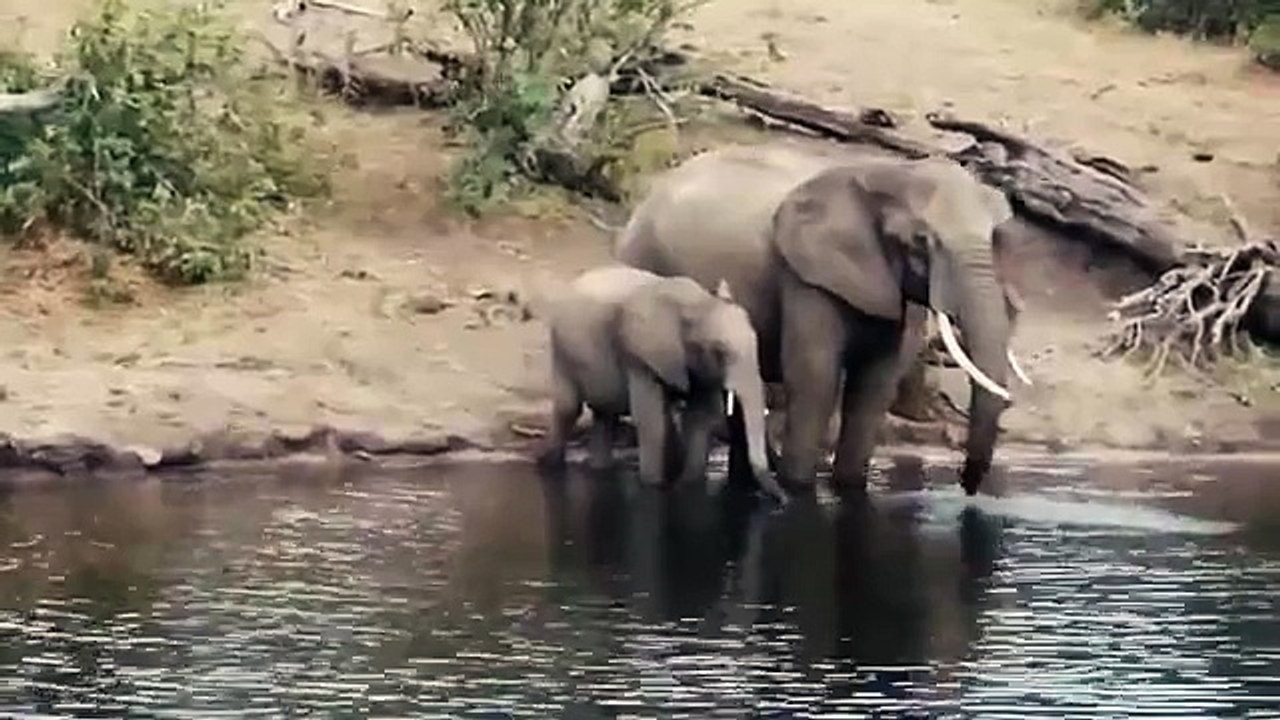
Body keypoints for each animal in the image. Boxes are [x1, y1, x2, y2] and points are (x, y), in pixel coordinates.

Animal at [536, 264, 787, 503]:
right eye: (719, 352)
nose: (784, 501)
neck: (697, 303)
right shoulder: (640, 357)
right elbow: (652, 422)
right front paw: (654, 486)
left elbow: (700, 418)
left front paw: (687, 486)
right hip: (561, 350)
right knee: (569, 409)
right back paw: (546, 464)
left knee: (604, 416)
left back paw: (598, 469)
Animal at [613, 140, 1032, 496]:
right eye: (920, 242)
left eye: (994, 238)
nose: (966, 485)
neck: (888, 172)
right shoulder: (805, 276)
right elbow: (815, 376)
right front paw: (798, 489)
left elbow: (876, 384)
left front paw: (847, 488)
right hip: (644, 257)